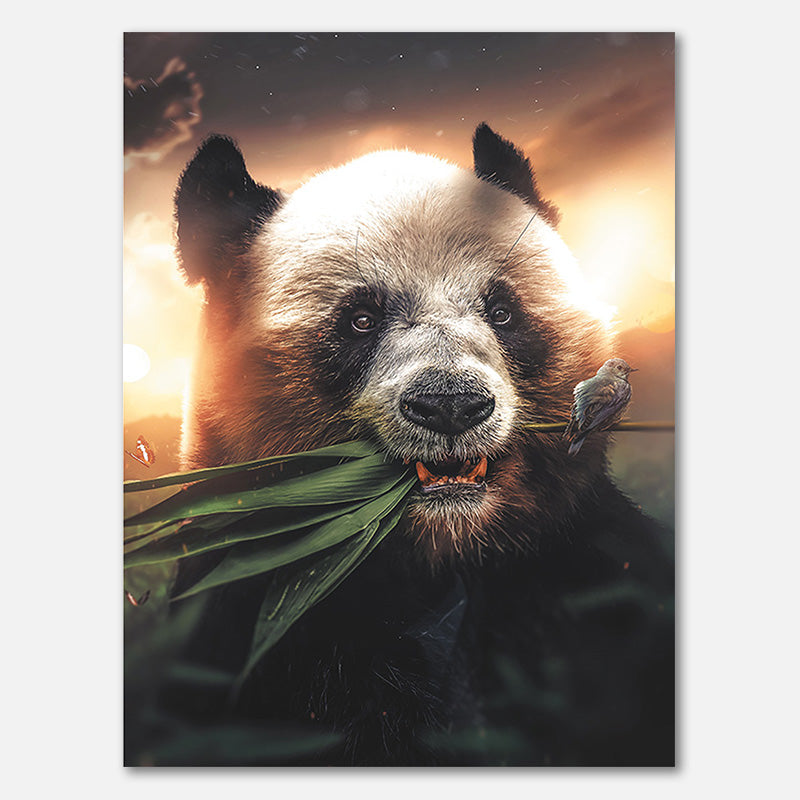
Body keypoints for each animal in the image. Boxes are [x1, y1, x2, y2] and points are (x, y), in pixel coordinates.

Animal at [166, 124, 674, 766]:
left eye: (502, 311)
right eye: (360, 319)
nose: (450, 405)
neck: (440, 554)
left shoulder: (582, 565)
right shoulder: (252, 611)